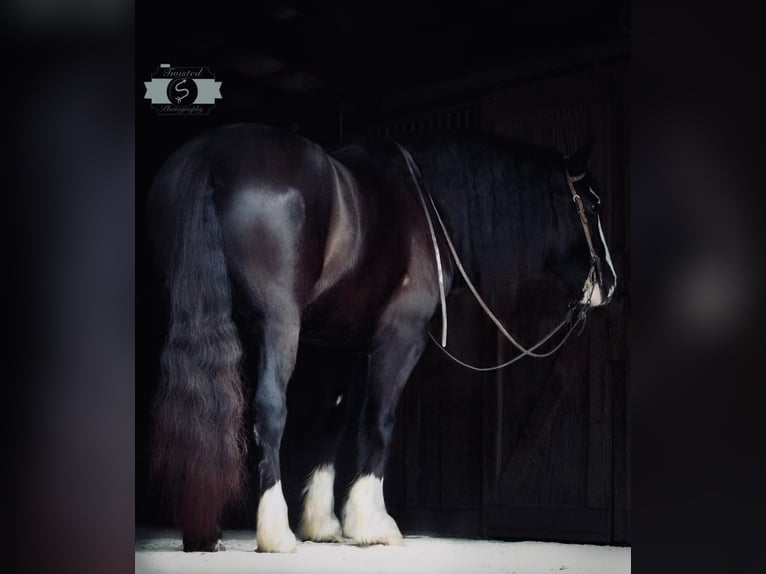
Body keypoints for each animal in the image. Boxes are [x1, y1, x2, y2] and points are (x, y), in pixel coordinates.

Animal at [147, 125, 620, 552]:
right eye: (593, 204)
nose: (610, 285)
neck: (428, 209)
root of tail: (211, 158)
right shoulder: (400, 337)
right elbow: (379, 420)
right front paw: (372, 523)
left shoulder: (337, 344)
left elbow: (332, 420)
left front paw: (323, 524)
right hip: (278, 325)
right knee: (270, 410)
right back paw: (275, 533)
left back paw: (204, 533)